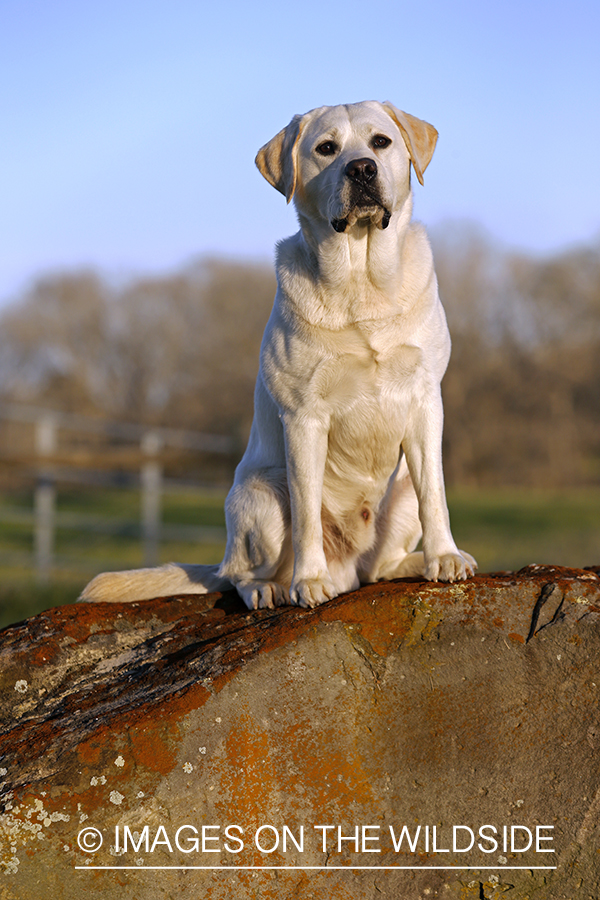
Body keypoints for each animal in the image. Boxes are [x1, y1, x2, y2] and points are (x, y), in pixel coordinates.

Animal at [79, 102, 476, 612]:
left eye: (380, 142)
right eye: (326, 148)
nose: (361, 169)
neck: (361, 281)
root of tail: (349, 567)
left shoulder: (425, 397)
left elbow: (436, 495)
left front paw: (444, 557)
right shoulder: (304, 417)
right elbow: (306, 515)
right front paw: (309, 582)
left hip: (398, 490)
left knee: (378, 567)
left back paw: (406, 565)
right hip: (264, 493)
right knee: (240, 575)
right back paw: (273, 588)